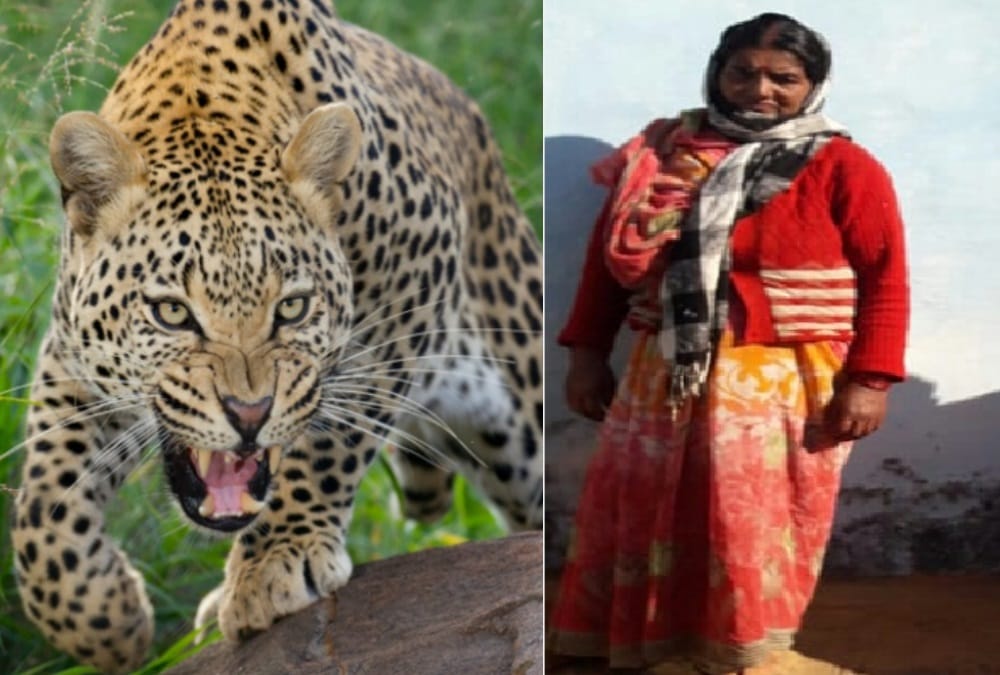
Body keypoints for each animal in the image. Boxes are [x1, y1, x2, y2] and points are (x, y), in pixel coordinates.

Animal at [10, 1, 542, 672]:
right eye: (172, 313)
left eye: (291, 308)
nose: (248, 413)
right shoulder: (72, 355)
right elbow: (45, 499)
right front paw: (105, 620)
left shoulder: (413, 281)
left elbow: (335, 438)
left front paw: (273, 563)